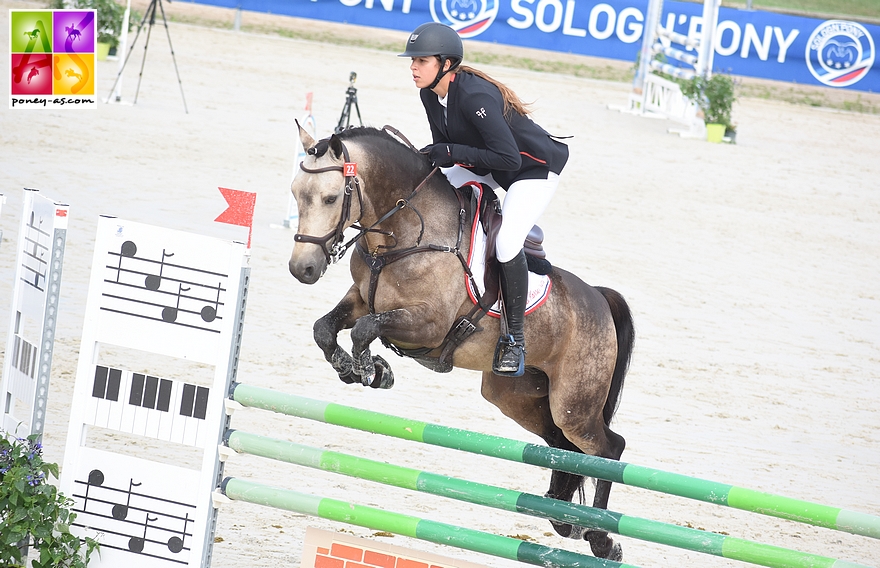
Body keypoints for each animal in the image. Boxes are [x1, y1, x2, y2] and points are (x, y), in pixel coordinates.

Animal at [288, 122, 632, 560]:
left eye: (331, 197)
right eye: (295, 192)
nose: (302, 269)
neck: (403, 233)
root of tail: (599, 298)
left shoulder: (429, 326)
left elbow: (366, 329)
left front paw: (372, 370)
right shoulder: (362, 298)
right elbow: (326, 328)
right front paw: (356, 368)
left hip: (575, 404)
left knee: (608, 449)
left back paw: (601, 538)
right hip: (517, 396)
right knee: (561, 444)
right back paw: (563, 517)